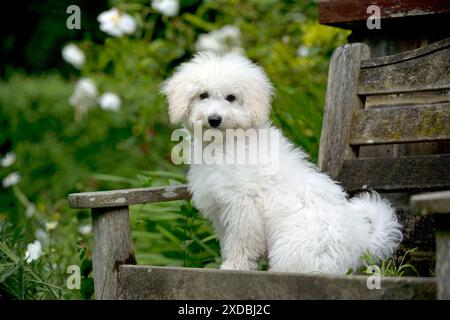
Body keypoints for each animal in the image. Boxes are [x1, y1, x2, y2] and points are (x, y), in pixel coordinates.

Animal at [160, 52, 402, 276]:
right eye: (203, 95)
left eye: (231, 97)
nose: (214, 119)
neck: (227, 142)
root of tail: (360, 244)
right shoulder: (220, 208)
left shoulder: (242, 204)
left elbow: (241, 239)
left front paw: (236, 265)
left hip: (295, 247)